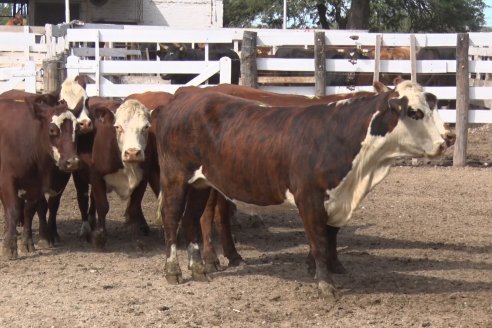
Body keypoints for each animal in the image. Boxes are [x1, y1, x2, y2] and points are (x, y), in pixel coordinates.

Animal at [0, 95, 79, 258]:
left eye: (78, 128)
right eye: (52, 129)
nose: (72, 161)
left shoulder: (37, 185)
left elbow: (30, 210)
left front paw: (27, 242)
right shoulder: (7, 180)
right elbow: (13, 210)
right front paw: (9, 247)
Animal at [156, 79, 456, 302]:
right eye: (415, 112)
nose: (447, 139)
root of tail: (185, 96)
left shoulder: (337, 197)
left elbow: (328, 236)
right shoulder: (309, 197)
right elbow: (320, 241)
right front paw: (325, 284)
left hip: (200, 183)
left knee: (191, 219)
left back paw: (198, 268)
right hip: (175, 177)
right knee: (173, 219)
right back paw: (174, 270)